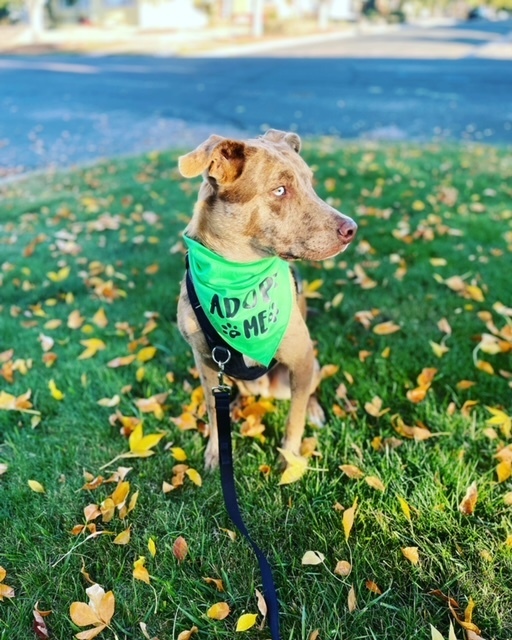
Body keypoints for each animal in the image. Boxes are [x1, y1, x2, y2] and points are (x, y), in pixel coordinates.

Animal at [176, 130, 356, 470]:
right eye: (280, 190)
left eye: (310, 183)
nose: (351, 229)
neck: (236, 279)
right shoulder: (205, 362)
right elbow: (212, 410)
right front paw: (216, 452)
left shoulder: (301, 358)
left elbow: (294, 419)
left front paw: (290, 461)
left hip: (304, 368)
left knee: (308, 391)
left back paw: (314, 409)